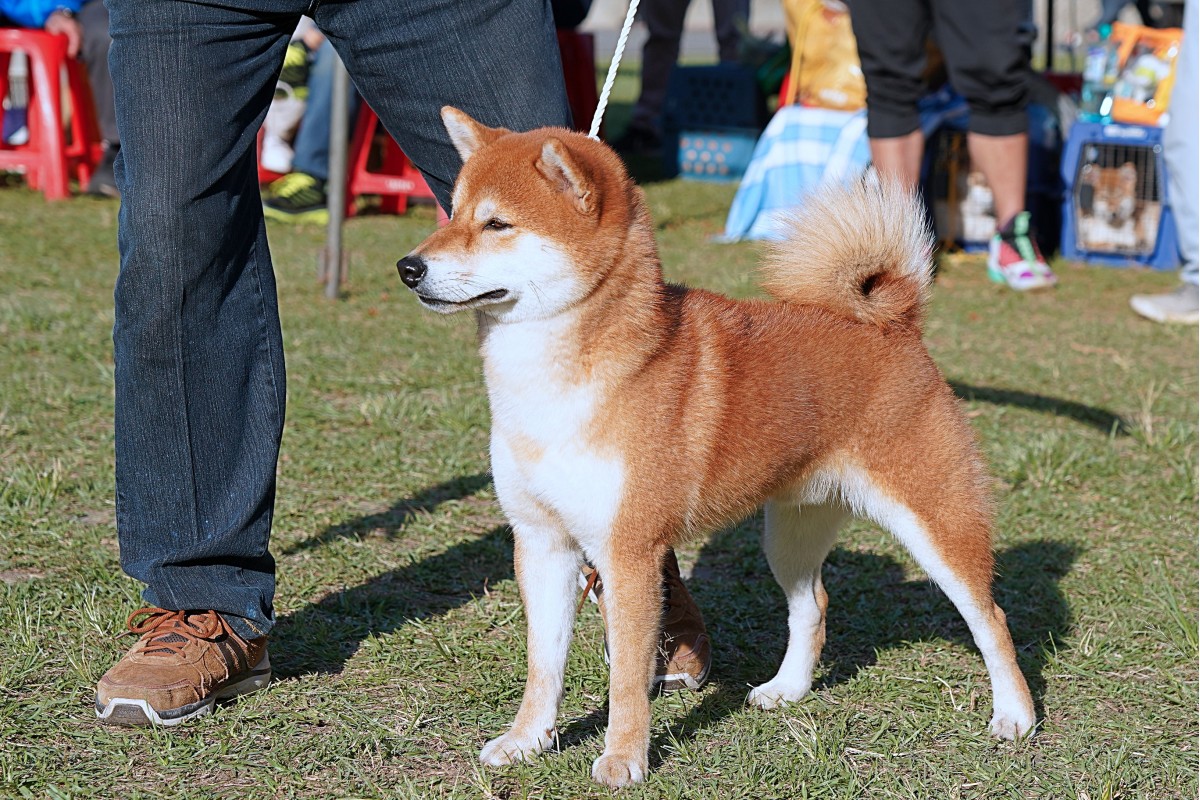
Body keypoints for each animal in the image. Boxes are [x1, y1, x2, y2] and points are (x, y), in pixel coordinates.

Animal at [398, 106, 1036, 786]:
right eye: (452, 213)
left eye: (497, 224)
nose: (408, 267)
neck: (555, 381)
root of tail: (892, 325)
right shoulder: (542, 541)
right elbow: (543, 665)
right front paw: (527, 740)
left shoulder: (628, 553)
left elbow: (628, 676)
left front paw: (623, 757)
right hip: (789, 534)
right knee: (812, 605)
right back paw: (787, 690)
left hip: (936, 525)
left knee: (990, 618)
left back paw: (1016, 716)